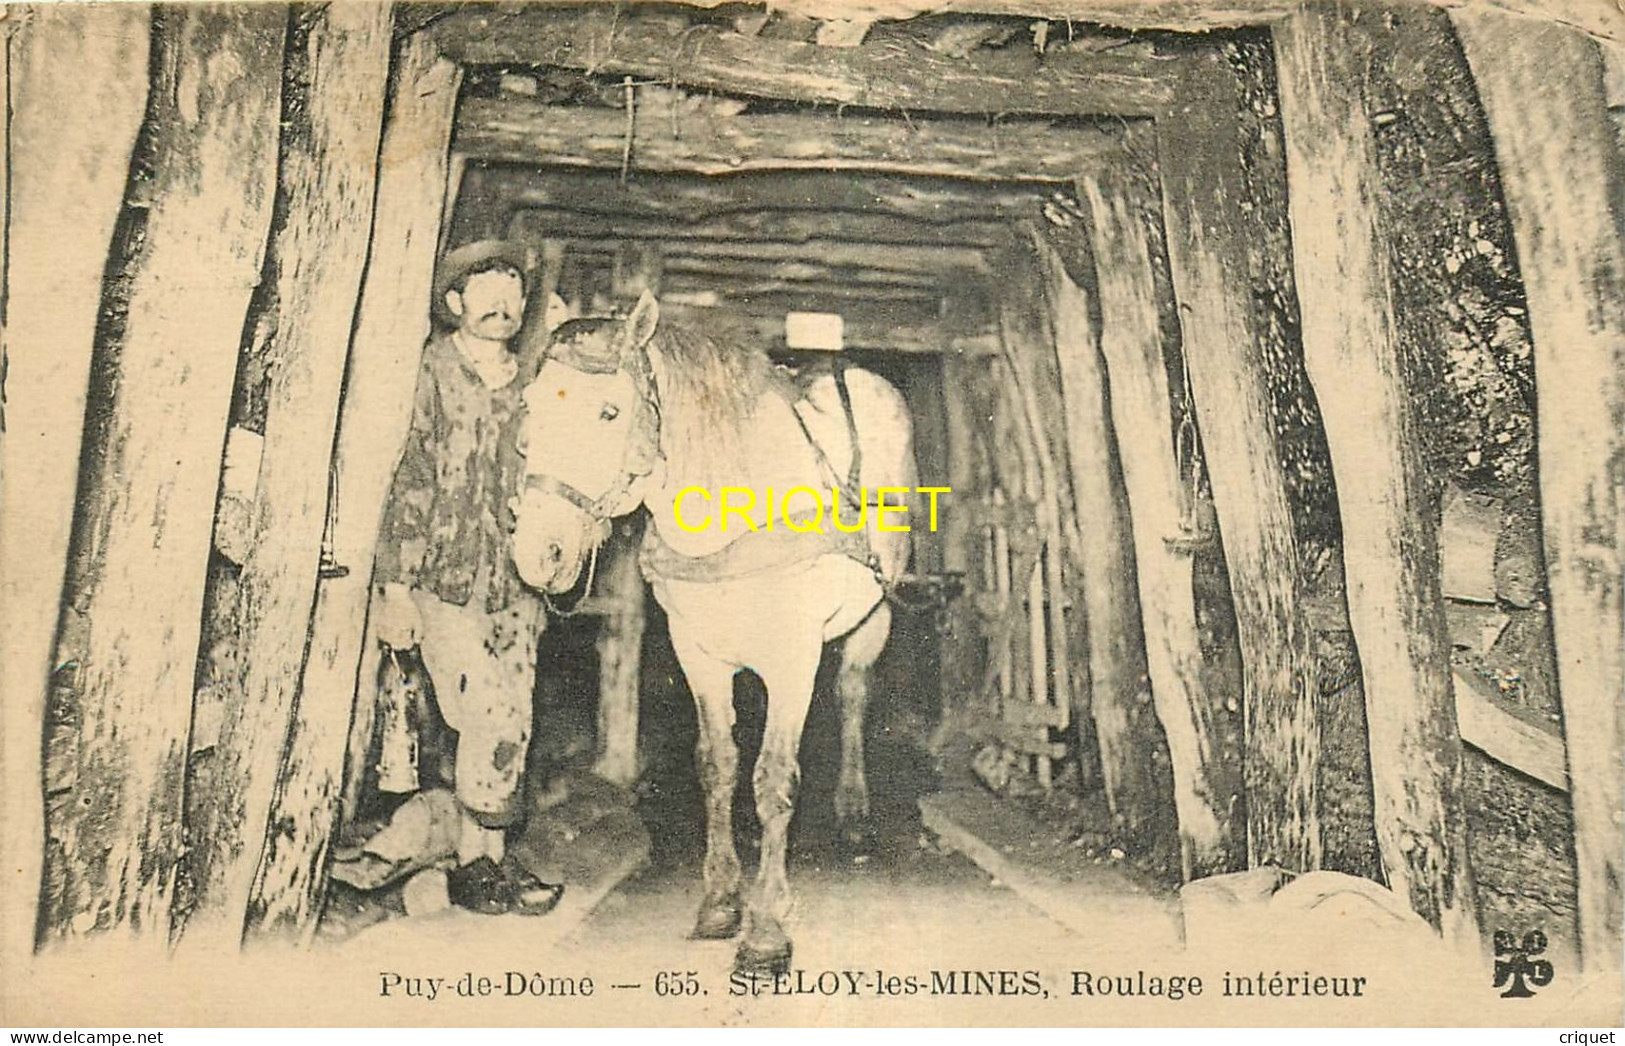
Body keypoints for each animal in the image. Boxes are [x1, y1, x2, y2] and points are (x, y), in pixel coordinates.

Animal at [507, 290, 916, 968]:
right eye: (531, 408)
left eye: (610, 412)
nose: (539, 553)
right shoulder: (696, 652)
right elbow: (718, 766)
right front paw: (722, 901)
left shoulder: (793, 657)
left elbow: (773, 779)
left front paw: (766, 929)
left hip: (875, 611)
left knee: (854, 691)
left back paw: (854, 807)